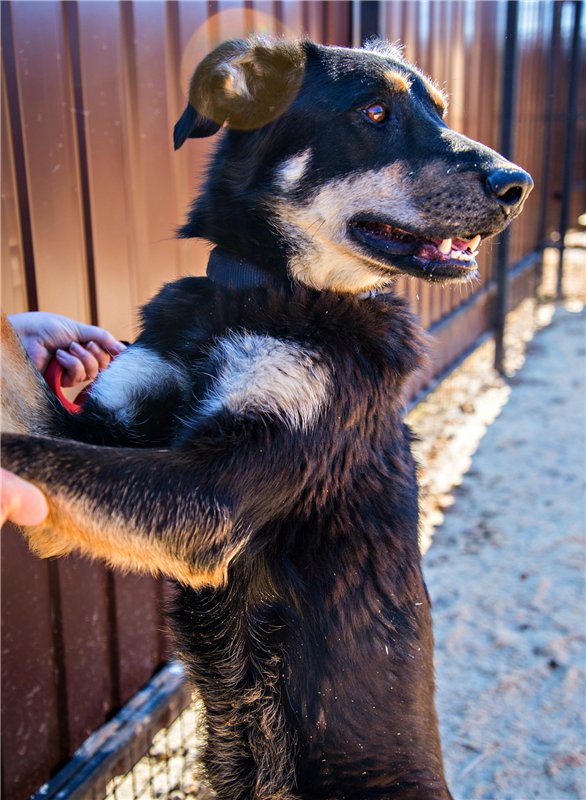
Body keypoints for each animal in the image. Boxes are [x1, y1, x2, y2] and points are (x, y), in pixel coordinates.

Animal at [1, 37, 532, 799]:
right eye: (375, 111)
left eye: (438, 109)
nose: (518, 185)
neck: (264, 291)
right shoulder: (107, 422)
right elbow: (26, 389)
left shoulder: (212, 494)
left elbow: (33, 454)